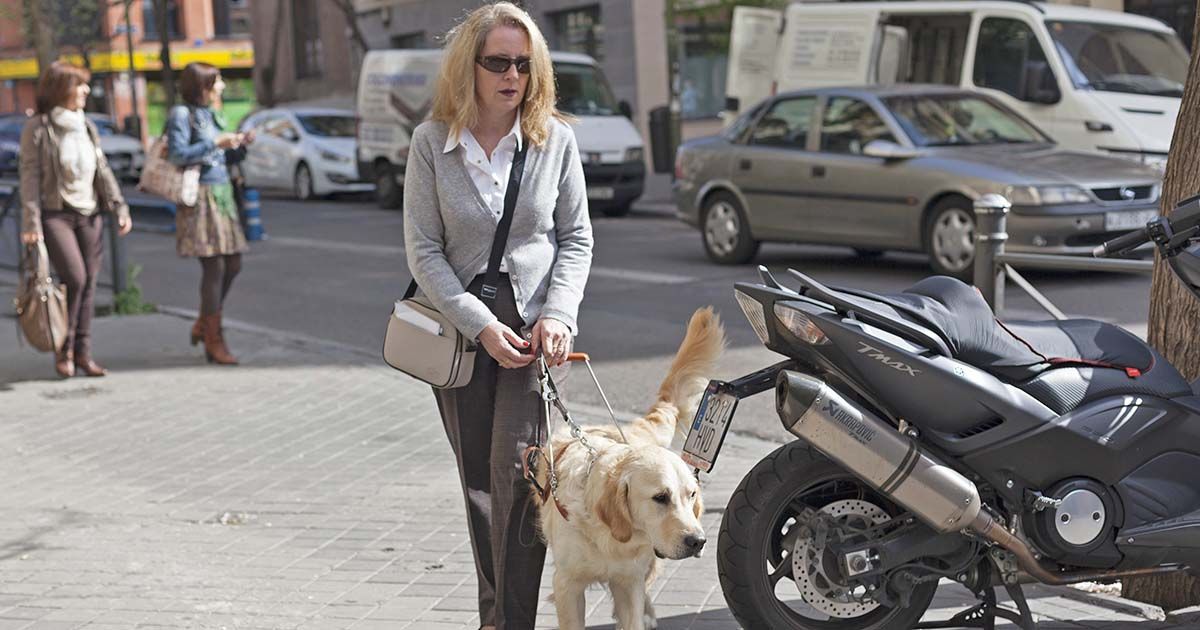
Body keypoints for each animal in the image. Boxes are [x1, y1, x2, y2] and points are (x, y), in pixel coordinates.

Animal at [532, 307, 720, 628]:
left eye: (692, 495)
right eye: (660, 497)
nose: (698, 541)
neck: (611, 535)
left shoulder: (629, 580)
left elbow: (632, 610)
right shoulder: (567, 585)